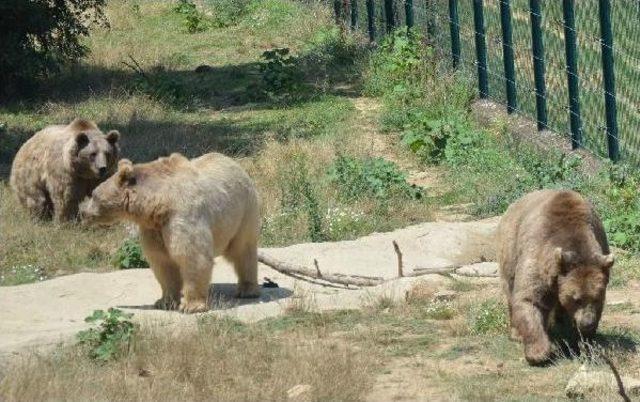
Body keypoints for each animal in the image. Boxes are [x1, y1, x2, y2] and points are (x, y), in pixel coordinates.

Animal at [79, 152, 260, 312]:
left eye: (94, 194)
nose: (82, 212)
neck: (158, 204)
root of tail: (235, 163)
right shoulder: (154, 228)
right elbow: (162, 262)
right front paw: (164, 301)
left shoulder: (181, 216)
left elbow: (192, 257)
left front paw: (191, 306)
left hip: (243, 211)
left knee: (243, 250)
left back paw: (247, 289)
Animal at [498, 188, 612, 364]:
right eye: (576, 299)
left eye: (596, 297)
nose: (587, 323)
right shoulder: (538, 255)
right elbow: (529, 298)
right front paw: (538, 353)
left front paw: (582, 343)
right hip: (510, 249)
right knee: (510, 288)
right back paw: (516, 333)